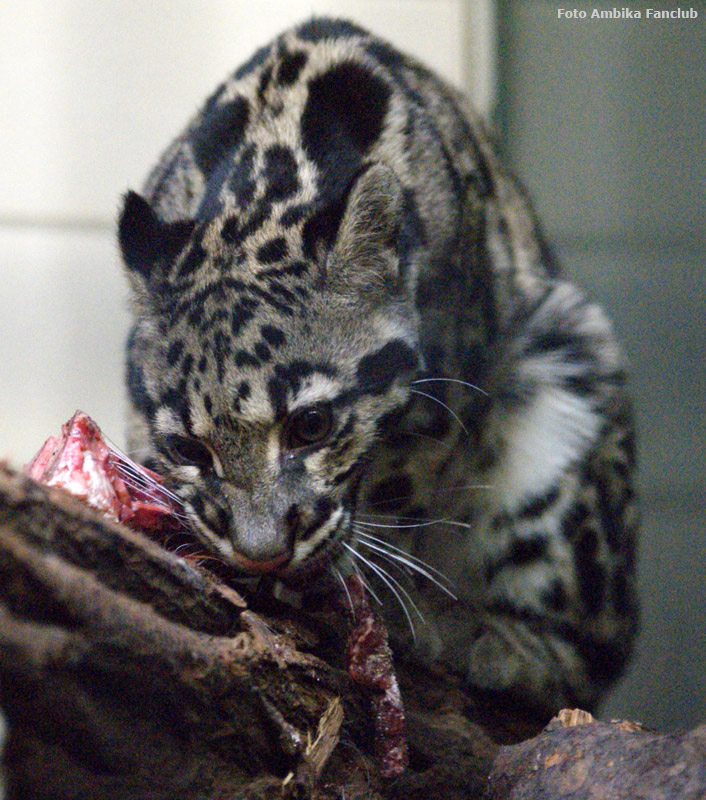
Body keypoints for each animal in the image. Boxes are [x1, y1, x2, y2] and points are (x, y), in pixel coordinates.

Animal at [118, 15, 636, 716]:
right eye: (190, 448)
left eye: (310, 425)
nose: (261, 556)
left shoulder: (448, 386)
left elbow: (400, 486)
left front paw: (364, 582)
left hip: (574, 372)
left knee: (594, 654)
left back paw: (501, 643)